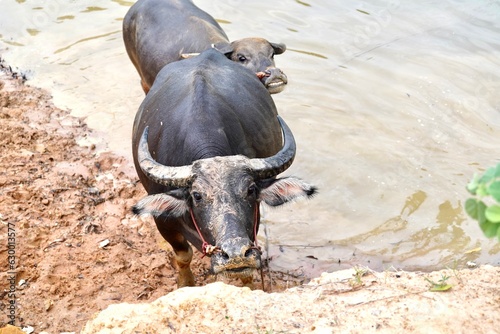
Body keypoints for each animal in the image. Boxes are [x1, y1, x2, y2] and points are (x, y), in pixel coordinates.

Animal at [131, 49, 314, 288]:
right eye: (197, 196)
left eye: (250, 190)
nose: (235, 254)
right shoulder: (163, 220)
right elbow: (183, 255)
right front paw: (185, 284)